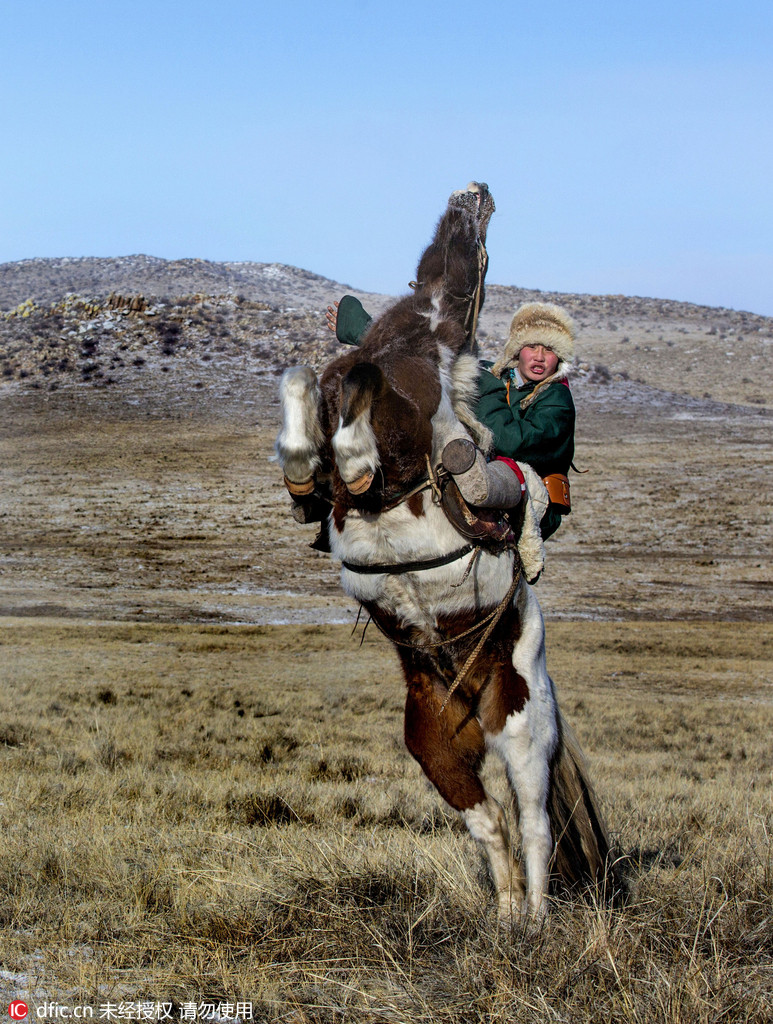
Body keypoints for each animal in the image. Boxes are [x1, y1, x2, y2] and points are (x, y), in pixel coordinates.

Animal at [274, 184, 614, 929]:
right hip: (433, 745)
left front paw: (352, 460)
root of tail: (466, 696)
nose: (474, 193)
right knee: (489, 823)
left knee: (534, 821)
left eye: (474, 243)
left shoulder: (402, 437)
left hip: (520, 731)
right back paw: (507, 915)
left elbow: (357, 408)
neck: (411, 340)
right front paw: (305, 473)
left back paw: (537, 919)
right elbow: (304, 384)